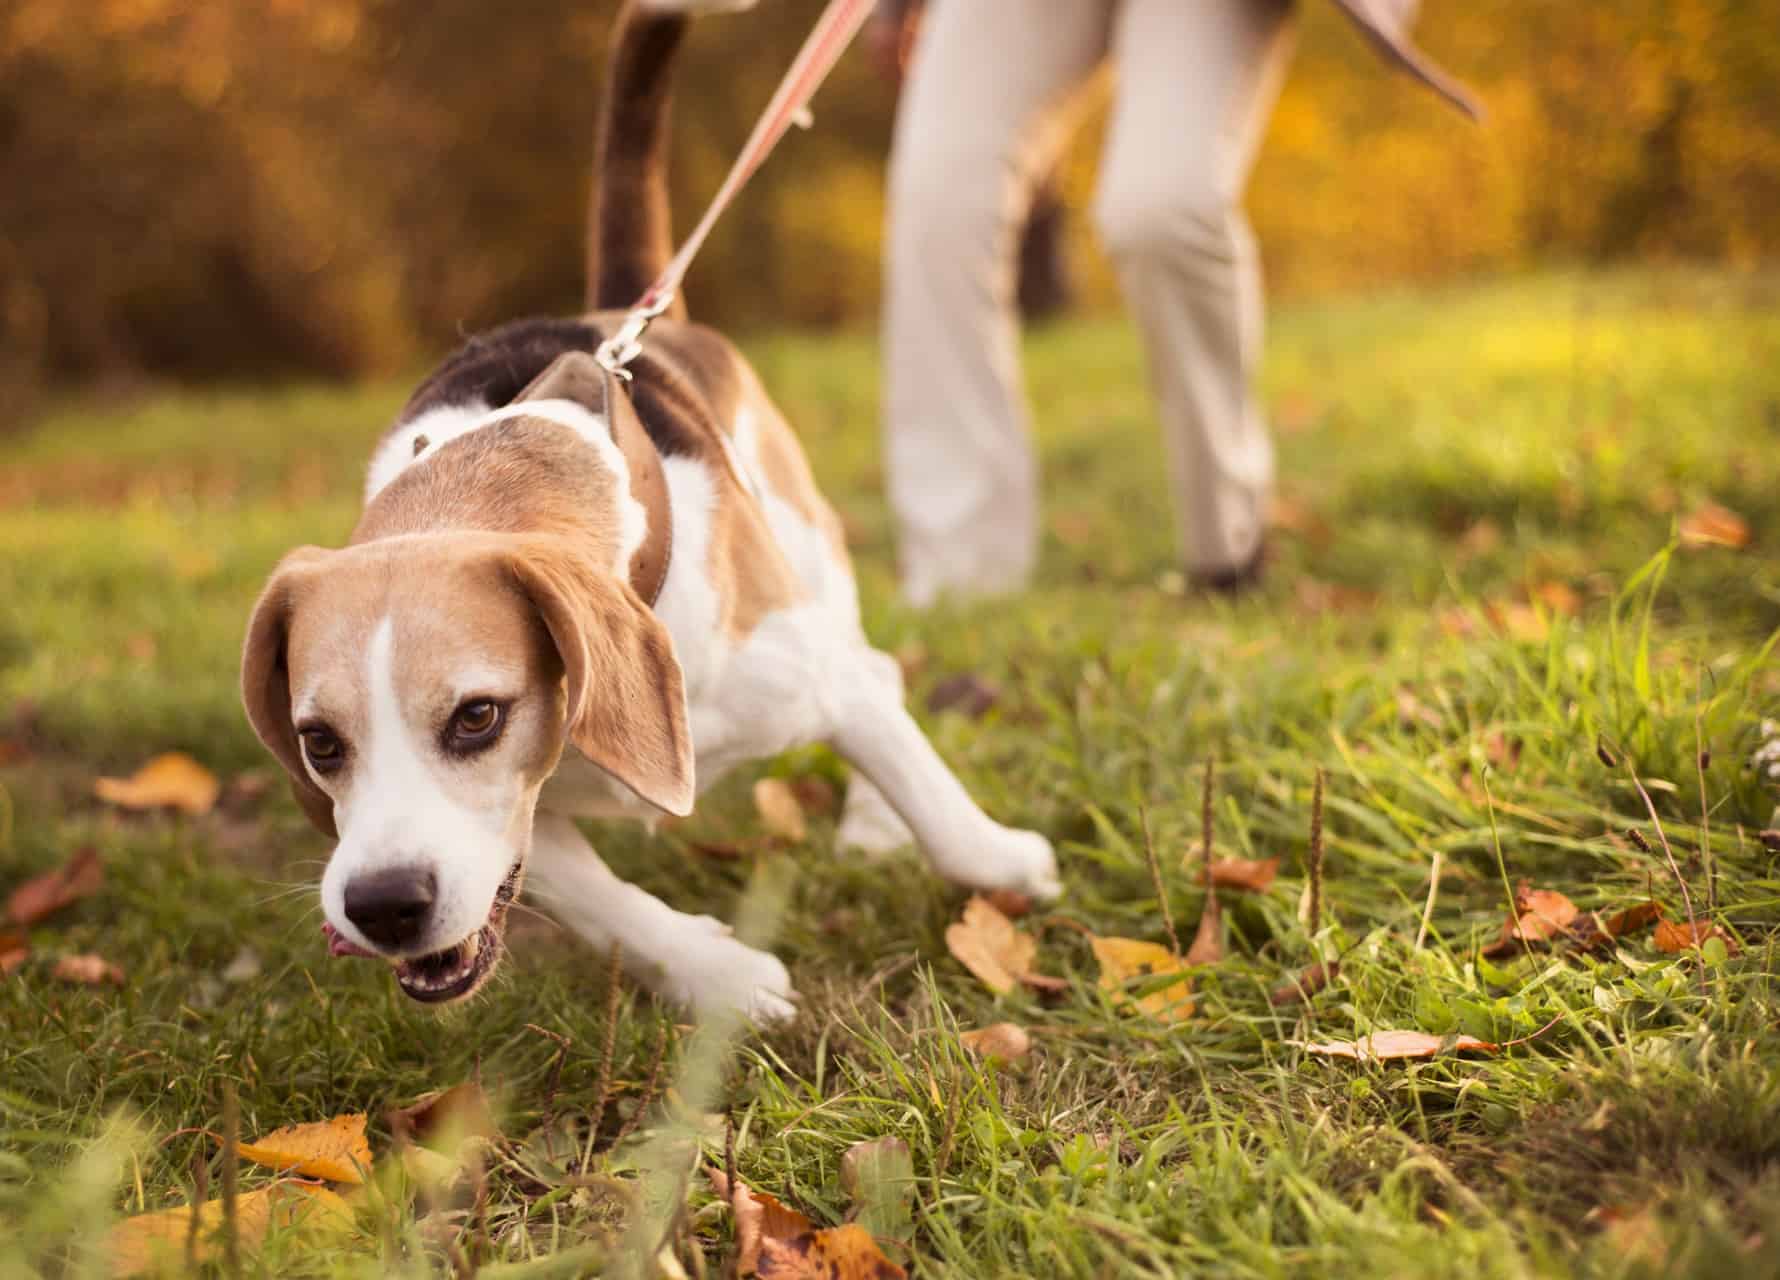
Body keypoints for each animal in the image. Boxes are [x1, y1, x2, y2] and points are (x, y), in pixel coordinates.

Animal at [243, 0, 1060, 1018]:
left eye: (476, 717)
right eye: (317, 741)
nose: (383, 904)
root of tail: (627, 313)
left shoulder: (816, 679)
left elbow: (934, 803)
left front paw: (1008, 864)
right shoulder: (526, 825)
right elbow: (602, 904)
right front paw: (720, 977)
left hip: (810, 564)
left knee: (879, 669)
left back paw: (876, 825)